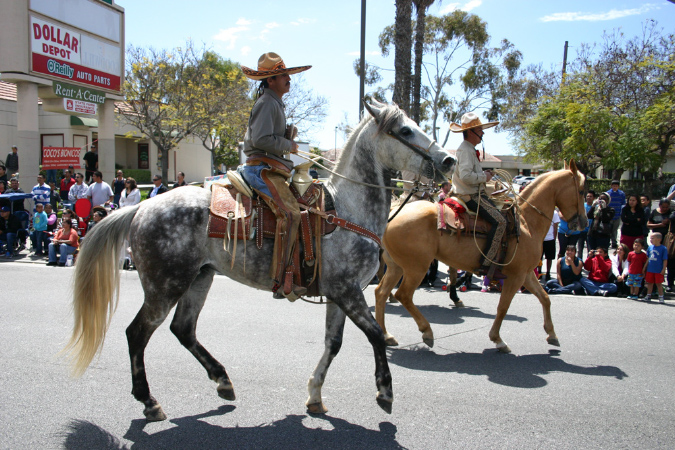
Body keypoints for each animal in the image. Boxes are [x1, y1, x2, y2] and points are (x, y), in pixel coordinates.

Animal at [64, 101, 454, 422]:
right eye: (405, 130)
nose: (448, 161)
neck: (346, 209)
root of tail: (142, 207)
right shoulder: (348, 292)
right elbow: (374, 335)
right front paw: (385, 391)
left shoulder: (341, 294)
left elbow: (334, 344)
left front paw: (315, 395)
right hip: (165, 286)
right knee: (137, 333)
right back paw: (149, 401)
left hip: (199, 279)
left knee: (183, 330)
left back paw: (222, 381)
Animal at [372, 162, 588, 352]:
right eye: (582, 191)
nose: (583, 223)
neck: (527, 223)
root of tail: (392, 213)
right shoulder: (516, 276)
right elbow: (503, 306)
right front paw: (498, 340)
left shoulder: (526, 273)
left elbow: (545, 298)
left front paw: (551, 334)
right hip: (416, 267)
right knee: (403, 295)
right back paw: (427, 331)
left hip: (397, 266)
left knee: (381, 292)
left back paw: (386, 335)